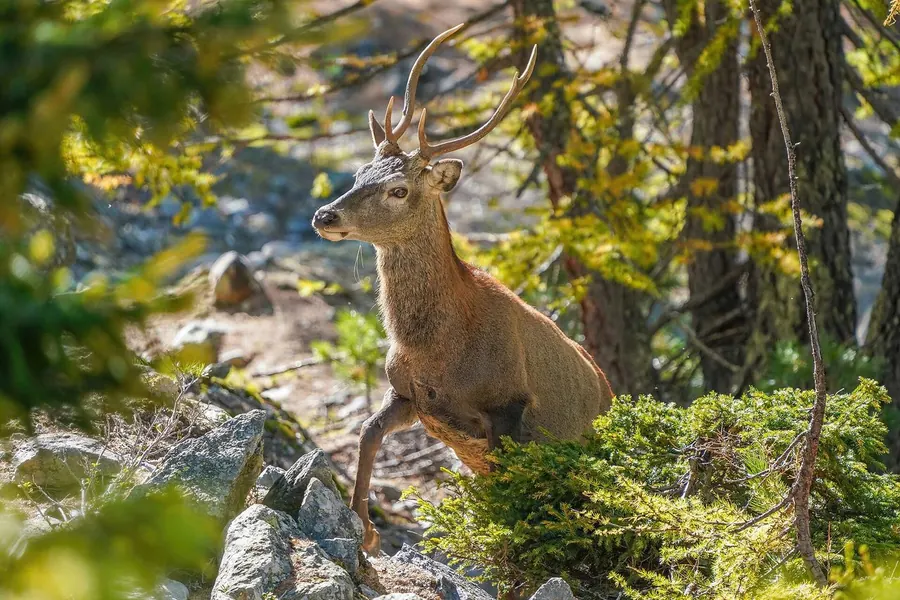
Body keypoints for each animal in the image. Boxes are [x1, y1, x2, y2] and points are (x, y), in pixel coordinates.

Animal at [311, 24, 614, 554]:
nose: (325, 215)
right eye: (358, 174)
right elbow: (367, 432)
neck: (438, 347)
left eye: (399, 190)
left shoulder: (509, 405)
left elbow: (506, 507)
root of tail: (613, 394)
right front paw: (365, 530)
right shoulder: (411, 394)